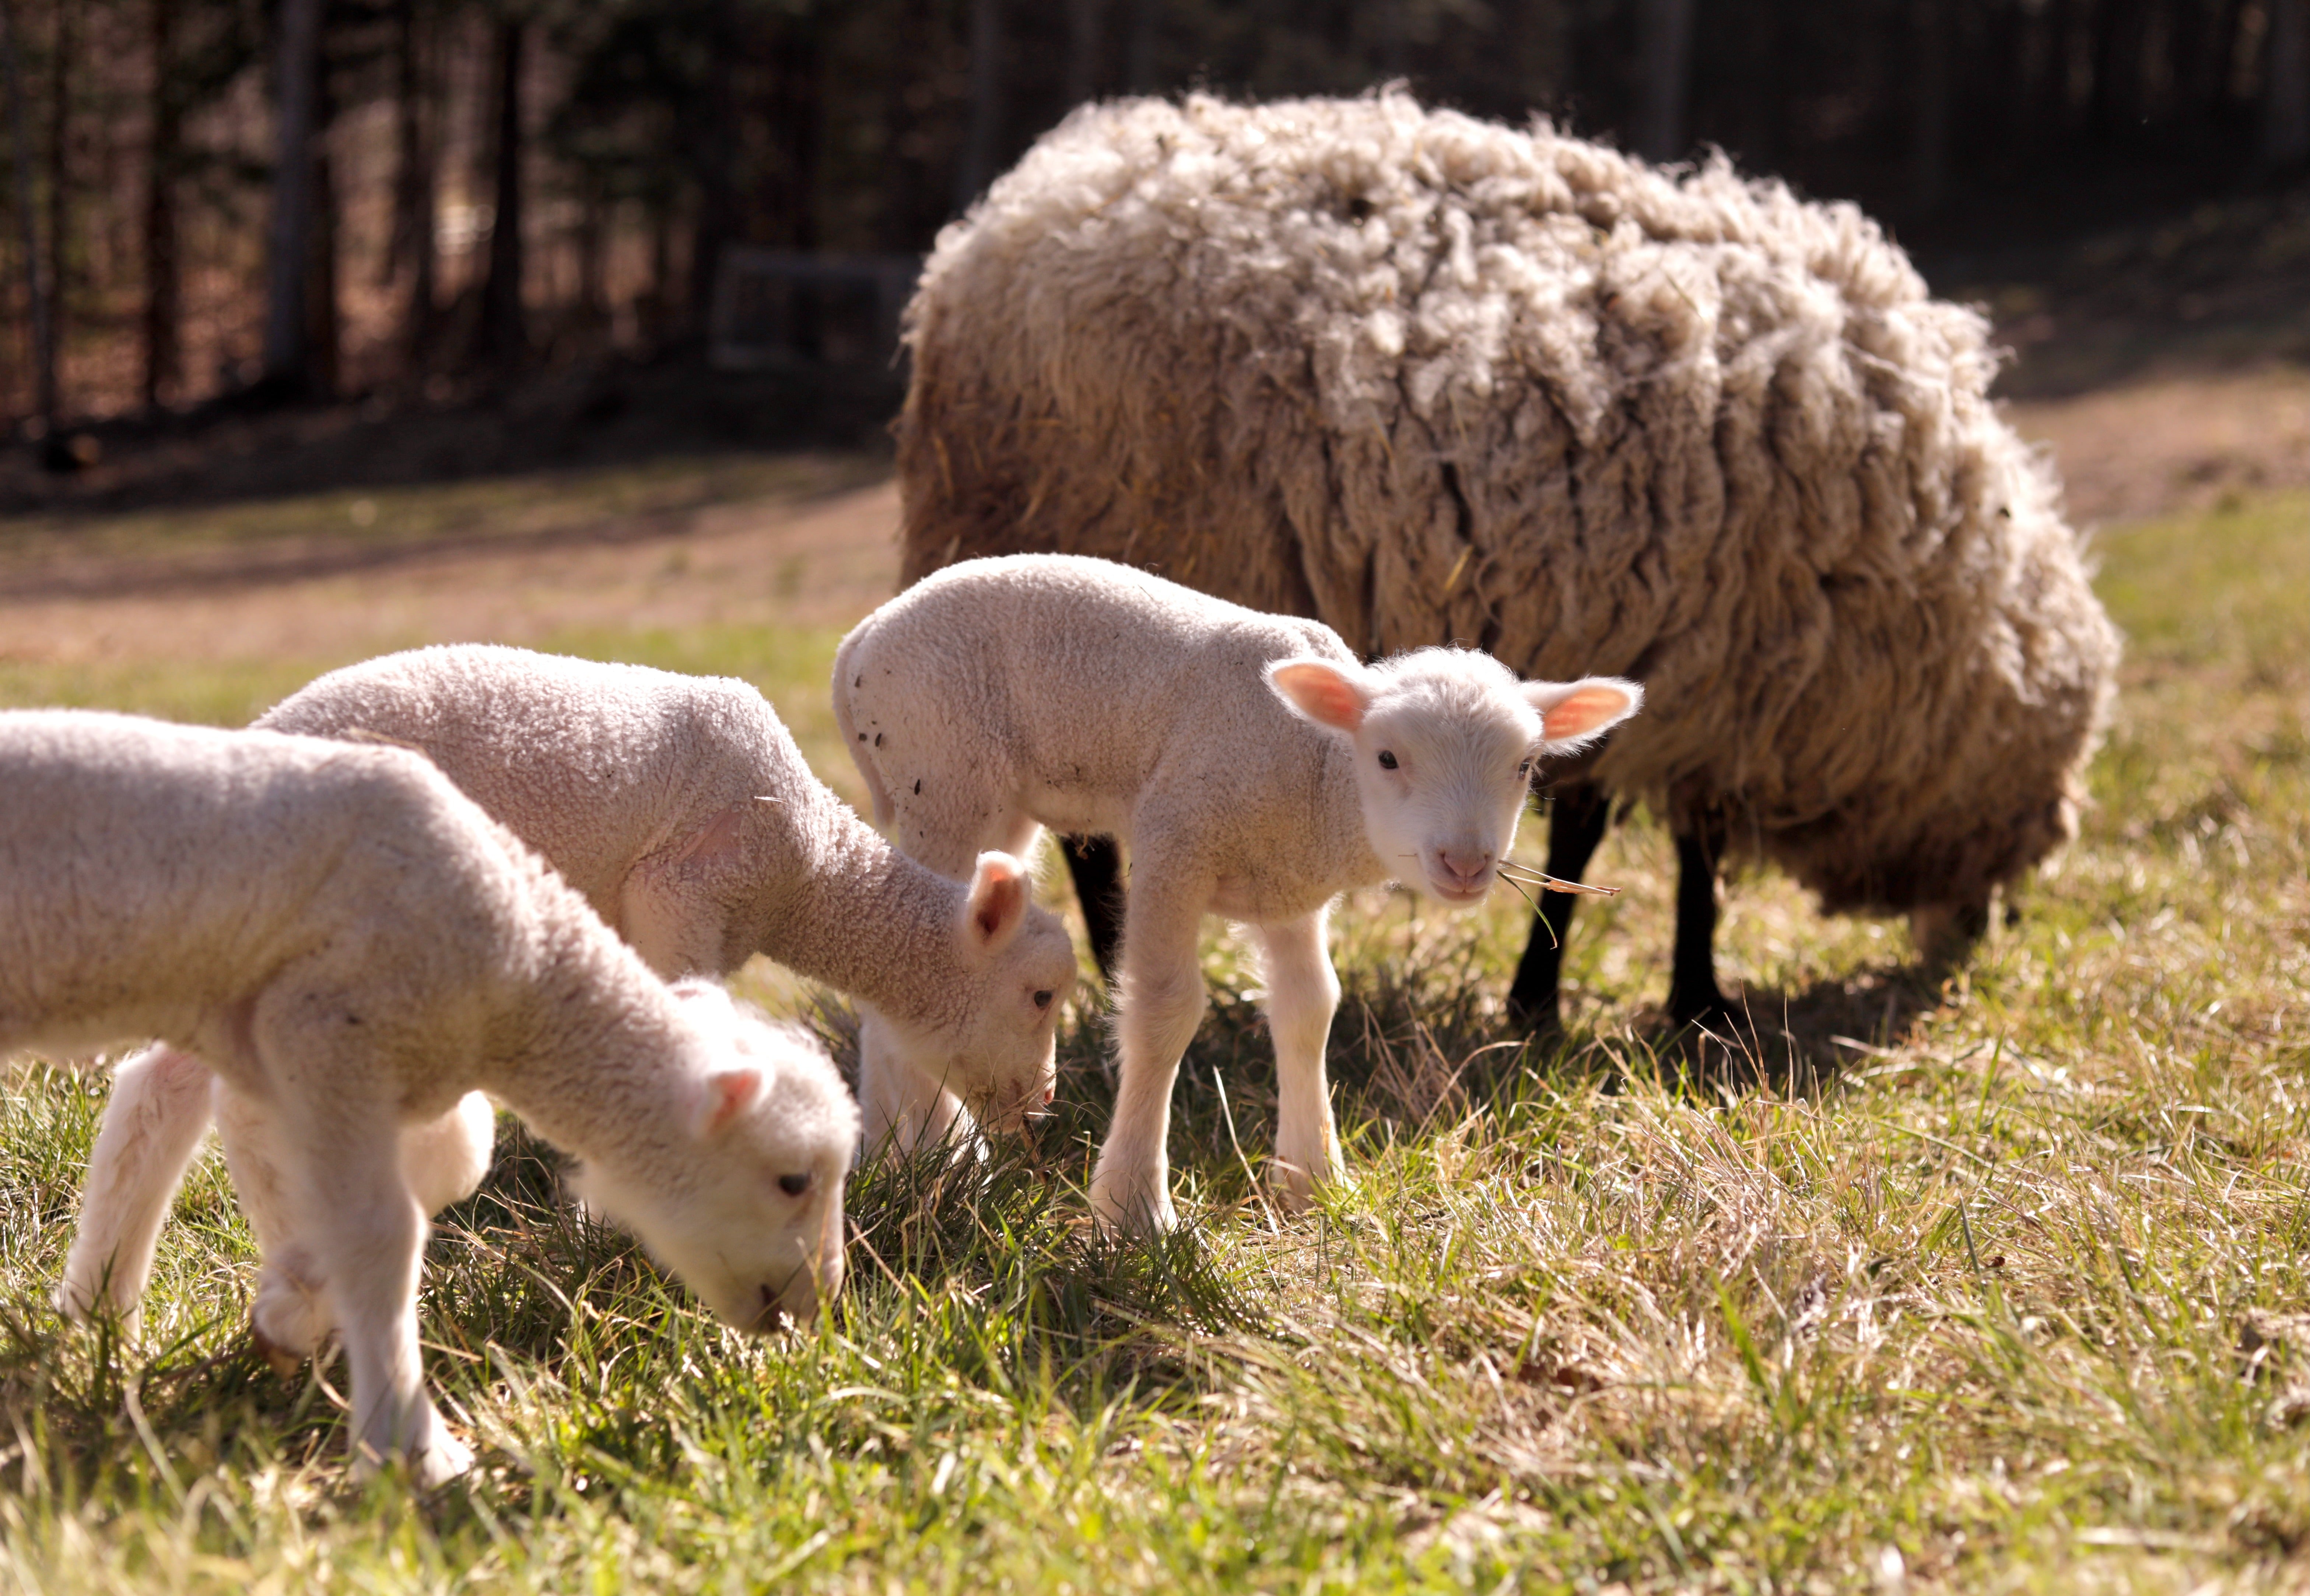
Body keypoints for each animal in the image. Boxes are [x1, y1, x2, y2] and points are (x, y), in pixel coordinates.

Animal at [10, 709, 858, 1486]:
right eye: (794, 1179)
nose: (819, 1311)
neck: (522, 970)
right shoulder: (323, 1032)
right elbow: (380, 1232)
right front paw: (410, 1447)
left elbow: (459, 1154)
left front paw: (295, 1299)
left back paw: (95, 1314)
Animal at [61, 646, 1078, 1303]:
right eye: (1039, 996)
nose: (1040, 1112)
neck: (809, 871)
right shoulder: (683, 889)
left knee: (157, 1083)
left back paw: (99, 1304)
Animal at [833, 553, 1641, 1232]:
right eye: (1387, 758)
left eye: (1525, 765)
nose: (1468, 862)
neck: (1317, 768)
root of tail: (858, 643)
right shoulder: (1176, 839)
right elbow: (1163, 1013)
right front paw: (1137, 1211)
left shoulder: (1289, 889)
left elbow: (1310, 1008)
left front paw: (1315, 1182)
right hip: (944, 772)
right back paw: (927, 1157)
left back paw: (898, 1154)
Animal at [893, 90, 2122, 1033]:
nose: (1973, 940)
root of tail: (995, 228)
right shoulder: (1715, 679)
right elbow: (1670, 858)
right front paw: (1659, 999)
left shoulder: (1651, 665)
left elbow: (1594, 828)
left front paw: (1572, 993)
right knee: (1089, 839)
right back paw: (1116, 973)